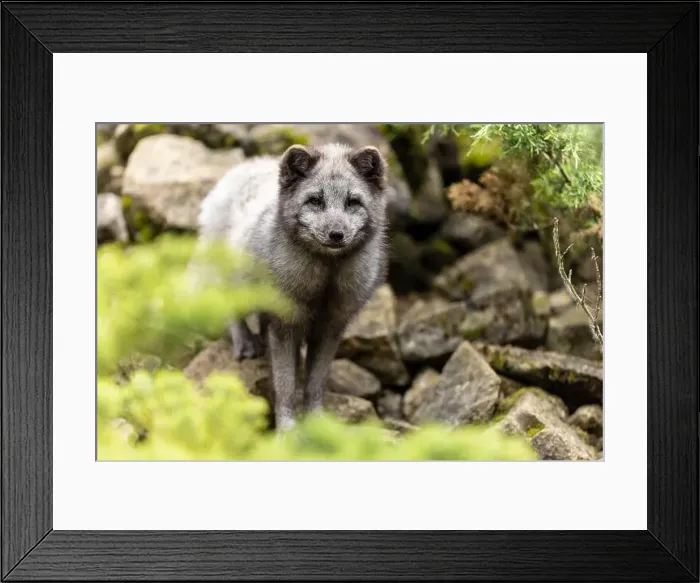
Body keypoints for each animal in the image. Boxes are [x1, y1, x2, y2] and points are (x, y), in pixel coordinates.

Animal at [196, 143, 389, 430]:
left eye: (353, 202)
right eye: (315, 200)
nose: (336, 234)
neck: (324, 284)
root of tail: (245, 166)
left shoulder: (330, 329)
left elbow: (314, 384)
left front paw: (316, 423)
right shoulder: (284, 326)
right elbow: (286, 385)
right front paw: (287, 429)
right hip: (233, 280)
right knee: (232, 308)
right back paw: (245, 344)